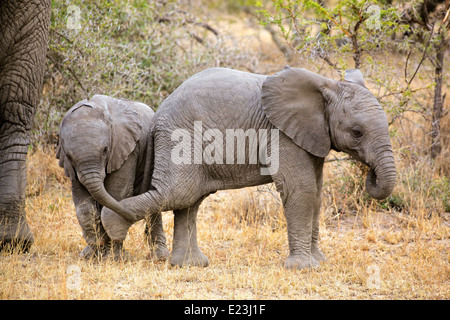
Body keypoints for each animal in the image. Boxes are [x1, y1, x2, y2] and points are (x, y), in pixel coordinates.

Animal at [56, 94, 169, 260]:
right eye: (69, 156)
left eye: (105, 150)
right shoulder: (73, 167)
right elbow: (84, 204)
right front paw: (93, 252)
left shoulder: (126, 149)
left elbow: (116, 194)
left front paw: (113, 257)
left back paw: (160, 257)